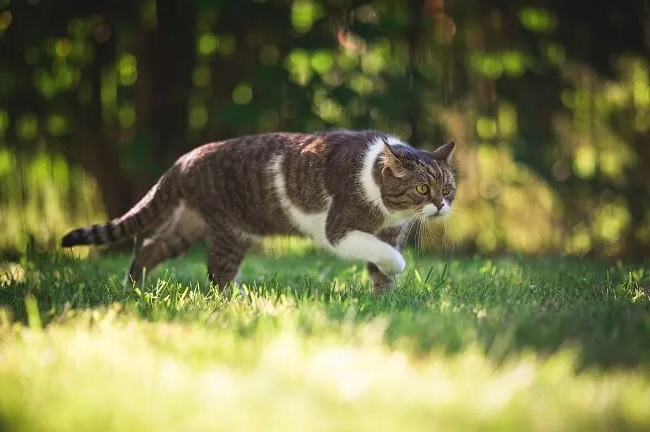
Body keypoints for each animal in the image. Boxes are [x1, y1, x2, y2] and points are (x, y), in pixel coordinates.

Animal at [62, 129, 456, 294]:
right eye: (422, 188)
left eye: (448, 188)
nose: (440, 204)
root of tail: (183, 159)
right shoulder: (339, 230)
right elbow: (380, 252)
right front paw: (397, 268)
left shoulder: (389, 231)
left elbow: (379, 266)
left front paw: (383, 298)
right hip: (231, 230)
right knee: (217, 272)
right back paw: (238, 300)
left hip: (191, 222)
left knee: (149, 246)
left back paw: (133, 287)